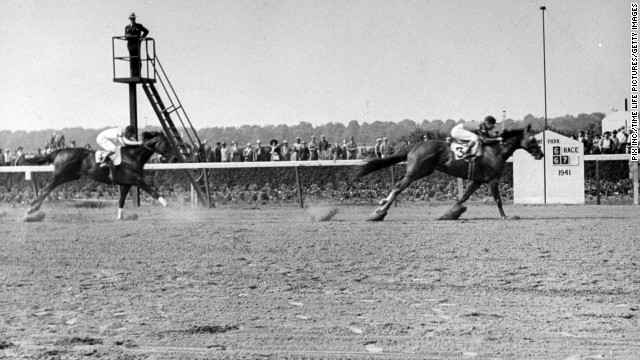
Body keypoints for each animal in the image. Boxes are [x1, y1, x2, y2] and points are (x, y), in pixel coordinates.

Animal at [25, 131, 174, 218]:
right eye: (166, 143)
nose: (173, 157)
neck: (132, 157)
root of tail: (60, 151)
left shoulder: (126, 184)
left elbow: (121, 200)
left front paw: (120, 216)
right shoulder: (137, 180)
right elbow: (153, 192)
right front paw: (169, 205)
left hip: (69, 176)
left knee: (47, 189)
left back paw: (33, 208)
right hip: (60, 175)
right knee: (46, 189)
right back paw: (31, 209)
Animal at [358, 125, 544, 221]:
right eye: (533, 139)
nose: (540, 154)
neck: (495, 151)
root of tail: (415, 145)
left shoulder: (478, 180)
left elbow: (464, 197)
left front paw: (450, 213)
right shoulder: (492, 180)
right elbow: (498, 200)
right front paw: (505, 216)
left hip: (422, 171)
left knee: (397, 187)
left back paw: (381, 207)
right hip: (417, 172)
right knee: (397, 187)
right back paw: (379, 212)